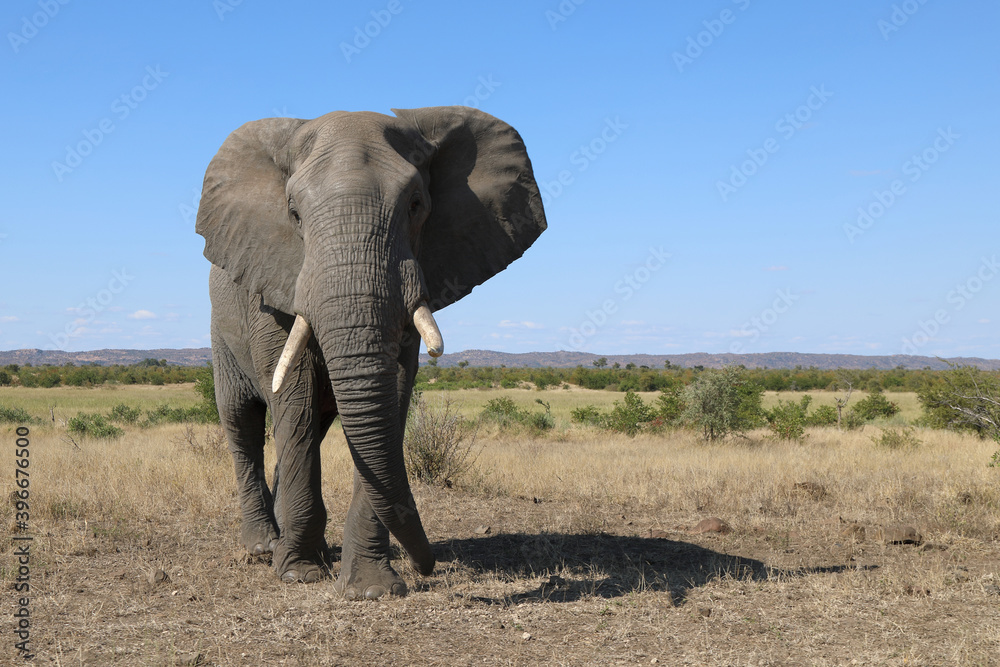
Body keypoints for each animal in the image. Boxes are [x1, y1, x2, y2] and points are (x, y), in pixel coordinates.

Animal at [195, 106, 547, 599]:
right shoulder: (270, 281)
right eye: (294, 214)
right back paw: (263, 547)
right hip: (221, 330)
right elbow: (294, 393)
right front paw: (299, 573)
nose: (427, 566)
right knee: (242, 420)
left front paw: (371, 588)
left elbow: (392, 392)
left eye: (416, 204)